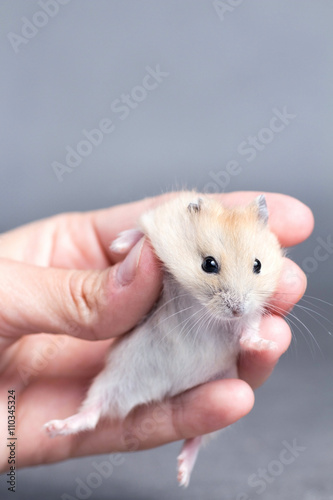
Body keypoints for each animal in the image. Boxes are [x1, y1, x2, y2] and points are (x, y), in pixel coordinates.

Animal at [44, 192, 282, 488]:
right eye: (209, 264)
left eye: (257, 265)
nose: (237, 309)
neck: (201, 307)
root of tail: (165, 390)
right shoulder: (158, 220)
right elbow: (140, 232)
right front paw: (119, 244)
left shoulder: (250, 316)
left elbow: (248, 330)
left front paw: (266, 345)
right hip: (113, 378)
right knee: (91, 415)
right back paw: (53, 428)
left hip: (224, 384)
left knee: (197, 437)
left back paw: (183, 474)